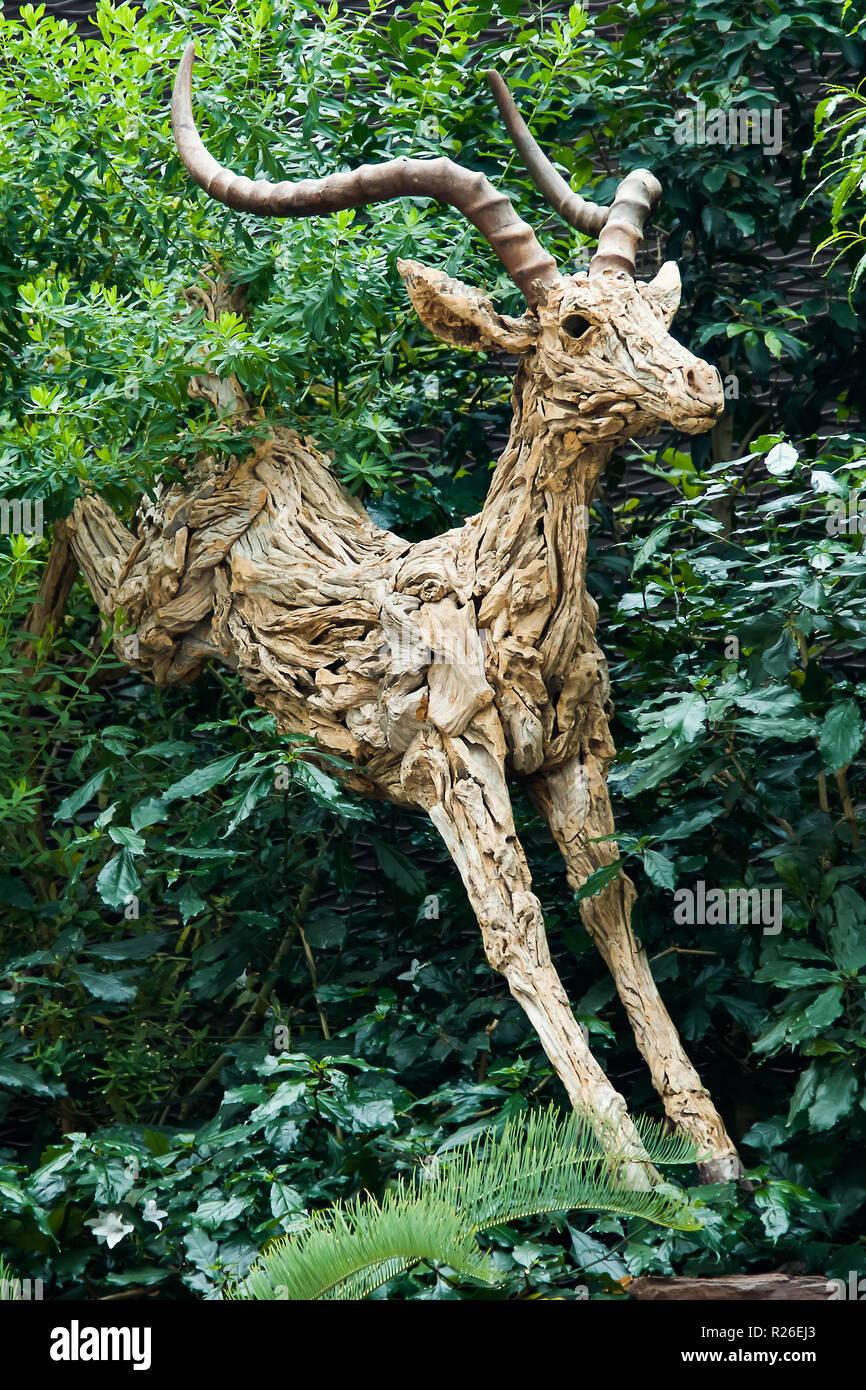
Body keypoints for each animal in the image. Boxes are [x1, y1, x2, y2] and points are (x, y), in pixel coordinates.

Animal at [69, 42, 741, 1183]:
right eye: (573, 324)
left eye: (657, 317)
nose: (704, 386)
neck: (499, 599)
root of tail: (246, 440)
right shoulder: (446, 760)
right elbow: (515, 930)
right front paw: (633, 1171)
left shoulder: (575, 749)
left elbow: (609, 905)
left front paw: (716, 1154)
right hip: (153, 613)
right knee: (96, 548)